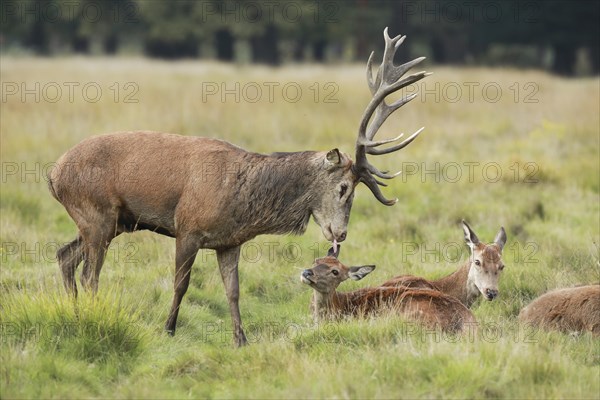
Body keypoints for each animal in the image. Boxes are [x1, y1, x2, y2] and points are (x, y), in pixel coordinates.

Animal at [48, 28, 432, 346]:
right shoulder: (187, 227)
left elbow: (233, 291)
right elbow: (181, 283)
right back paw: (94, 313)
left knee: (65, 256)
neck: (241, 203)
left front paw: (241, 339)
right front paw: (168, 329)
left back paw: (77, 314)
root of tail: (53, 174)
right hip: (97, 212)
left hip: (111, 222)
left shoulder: (229, 243)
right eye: (343, 188)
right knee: (89, 273)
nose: (341, 234)